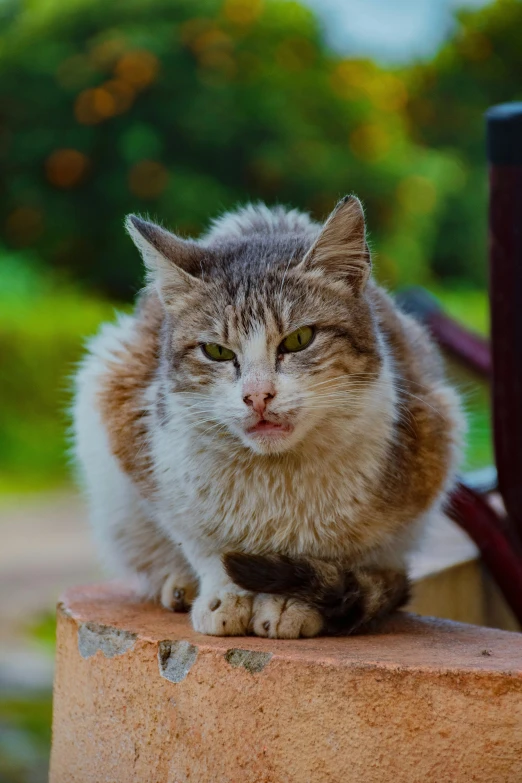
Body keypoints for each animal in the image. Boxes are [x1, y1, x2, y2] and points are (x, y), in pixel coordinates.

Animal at [71, 196, 462, 636]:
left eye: (299, 339)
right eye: (217, 351)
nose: (257, 395)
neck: (274, 482)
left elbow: (330, 555)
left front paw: (288, 603)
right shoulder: (144, 455)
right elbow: (205, 547)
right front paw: (224, 597)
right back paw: (181, 585)